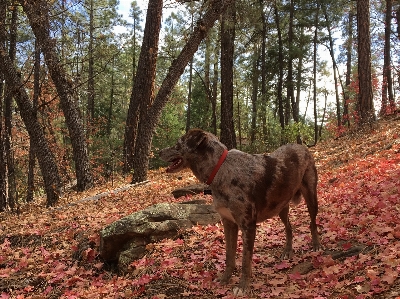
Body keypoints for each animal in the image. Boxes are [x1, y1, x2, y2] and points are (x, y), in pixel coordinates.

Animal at [159, 129, 322, 296]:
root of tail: (301, 146)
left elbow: (245, 260)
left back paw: (316, 245)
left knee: (312, 222)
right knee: (289, 227)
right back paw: (288, 251)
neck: (219, 169)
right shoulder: (228, 223)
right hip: (280, 206)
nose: (158, 152)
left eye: (178, 144)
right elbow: (229, 256)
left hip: (310, 196)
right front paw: (225, 279)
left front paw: (243, 287)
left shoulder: (248, 226)